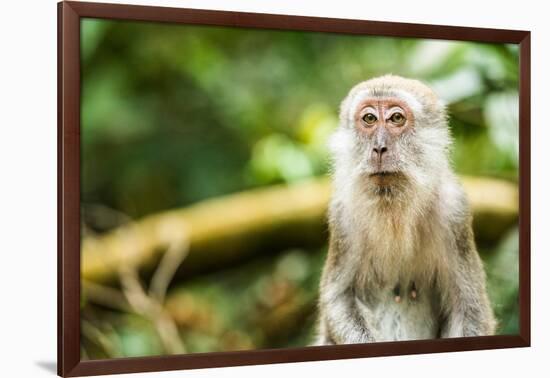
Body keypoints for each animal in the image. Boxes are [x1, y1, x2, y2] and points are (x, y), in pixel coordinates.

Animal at [316, 75, 498, 344]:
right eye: (369, 119)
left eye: (396, 118)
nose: (379, 147)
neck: (394, 210)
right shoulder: (342, 216)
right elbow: (339, 298)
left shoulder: (455, 212)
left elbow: (469, 309)